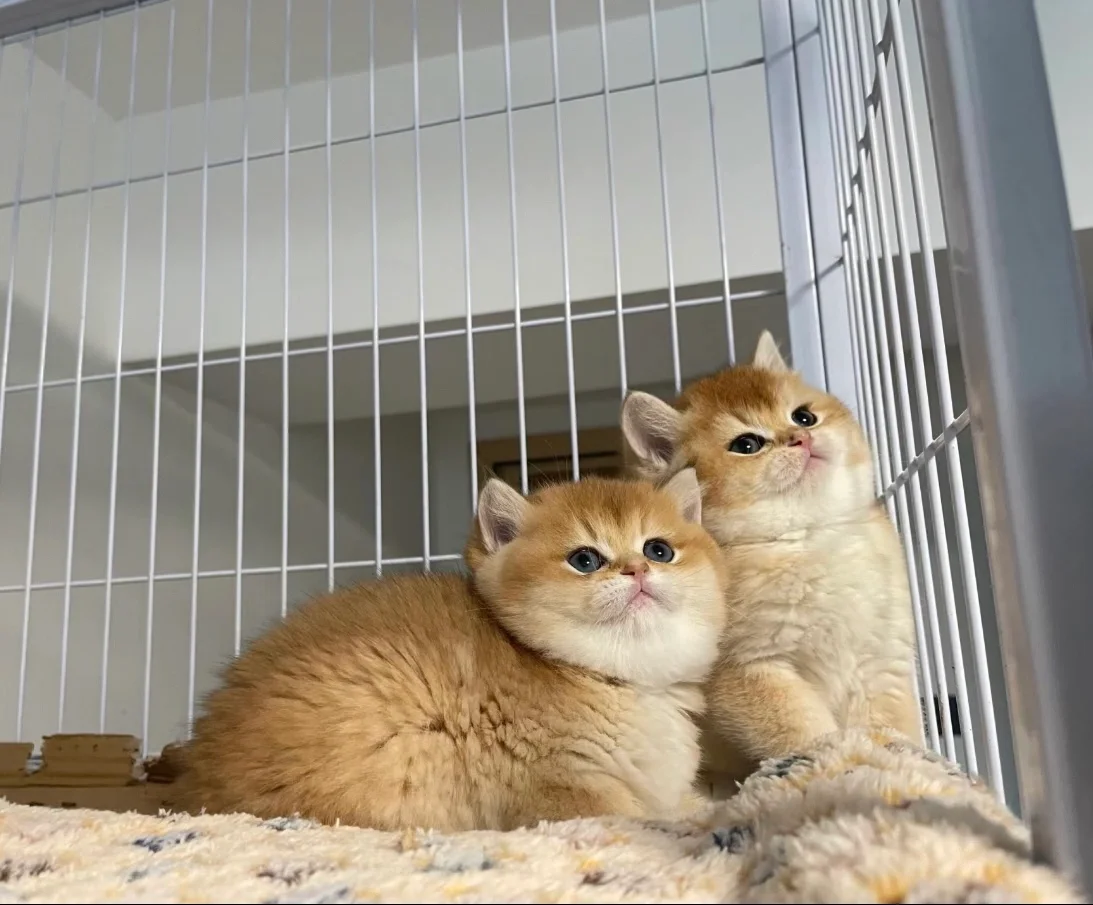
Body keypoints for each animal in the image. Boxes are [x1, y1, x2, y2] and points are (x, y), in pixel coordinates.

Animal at [180, 470, 727, 831]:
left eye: (659, 550)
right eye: (585, 559)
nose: (638, 569)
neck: (618, 680)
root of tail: (197, 777)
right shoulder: (564, 790)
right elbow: (638, 818)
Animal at [620, 331, 922, 790]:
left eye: (803, 416)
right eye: (747, 444)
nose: (801, 438)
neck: (810, 539)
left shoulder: (880, 661)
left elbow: (892, 728)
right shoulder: (750, 671)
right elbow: (807, 732)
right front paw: (840, 766)